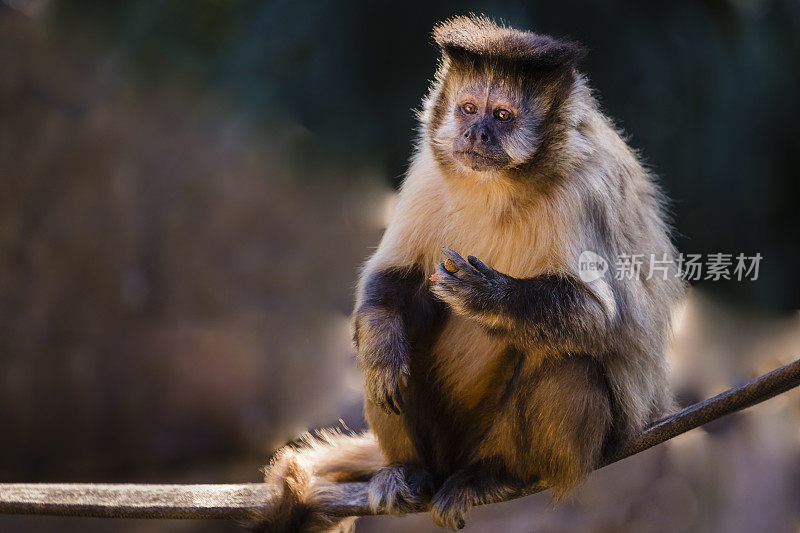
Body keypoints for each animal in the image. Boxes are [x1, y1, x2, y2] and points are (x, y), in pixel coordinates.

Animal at [253, 14, 684, 528]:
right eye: (469, 109)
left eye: (501, 116)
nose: (477, 133)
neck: (499, 185)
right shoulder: (427, 169)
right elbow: (390, 281)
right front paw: (383, 343)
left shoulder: (584, 189)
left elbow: (599, 318)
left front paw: (489, 296)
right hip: (445, 444)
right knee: (402, 337)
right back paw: (409, 469)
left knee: (567, 362)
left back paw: (496, 475)